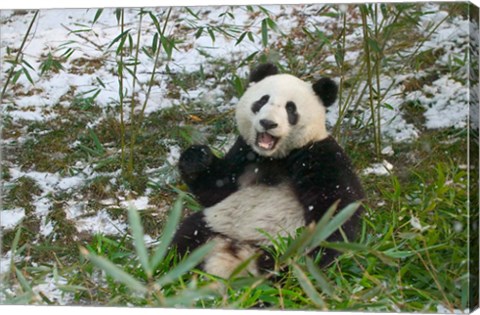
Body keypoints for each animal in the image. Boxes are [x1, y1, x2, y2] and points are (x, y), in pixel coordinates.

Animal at [172, 62, 364, 278]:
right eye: (262, 100)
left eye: (291, 108)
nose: (268, 123)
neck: (276, 156)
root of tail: (233, 251)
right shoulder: (245, 152)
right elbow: (217, 189)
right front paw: (196, 157)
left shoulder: (320, 155)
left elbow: (337, 207)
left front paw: (320, 248)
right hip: (215, 223)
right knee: (185, 236)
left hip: (280, 246)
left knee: (284, 268)